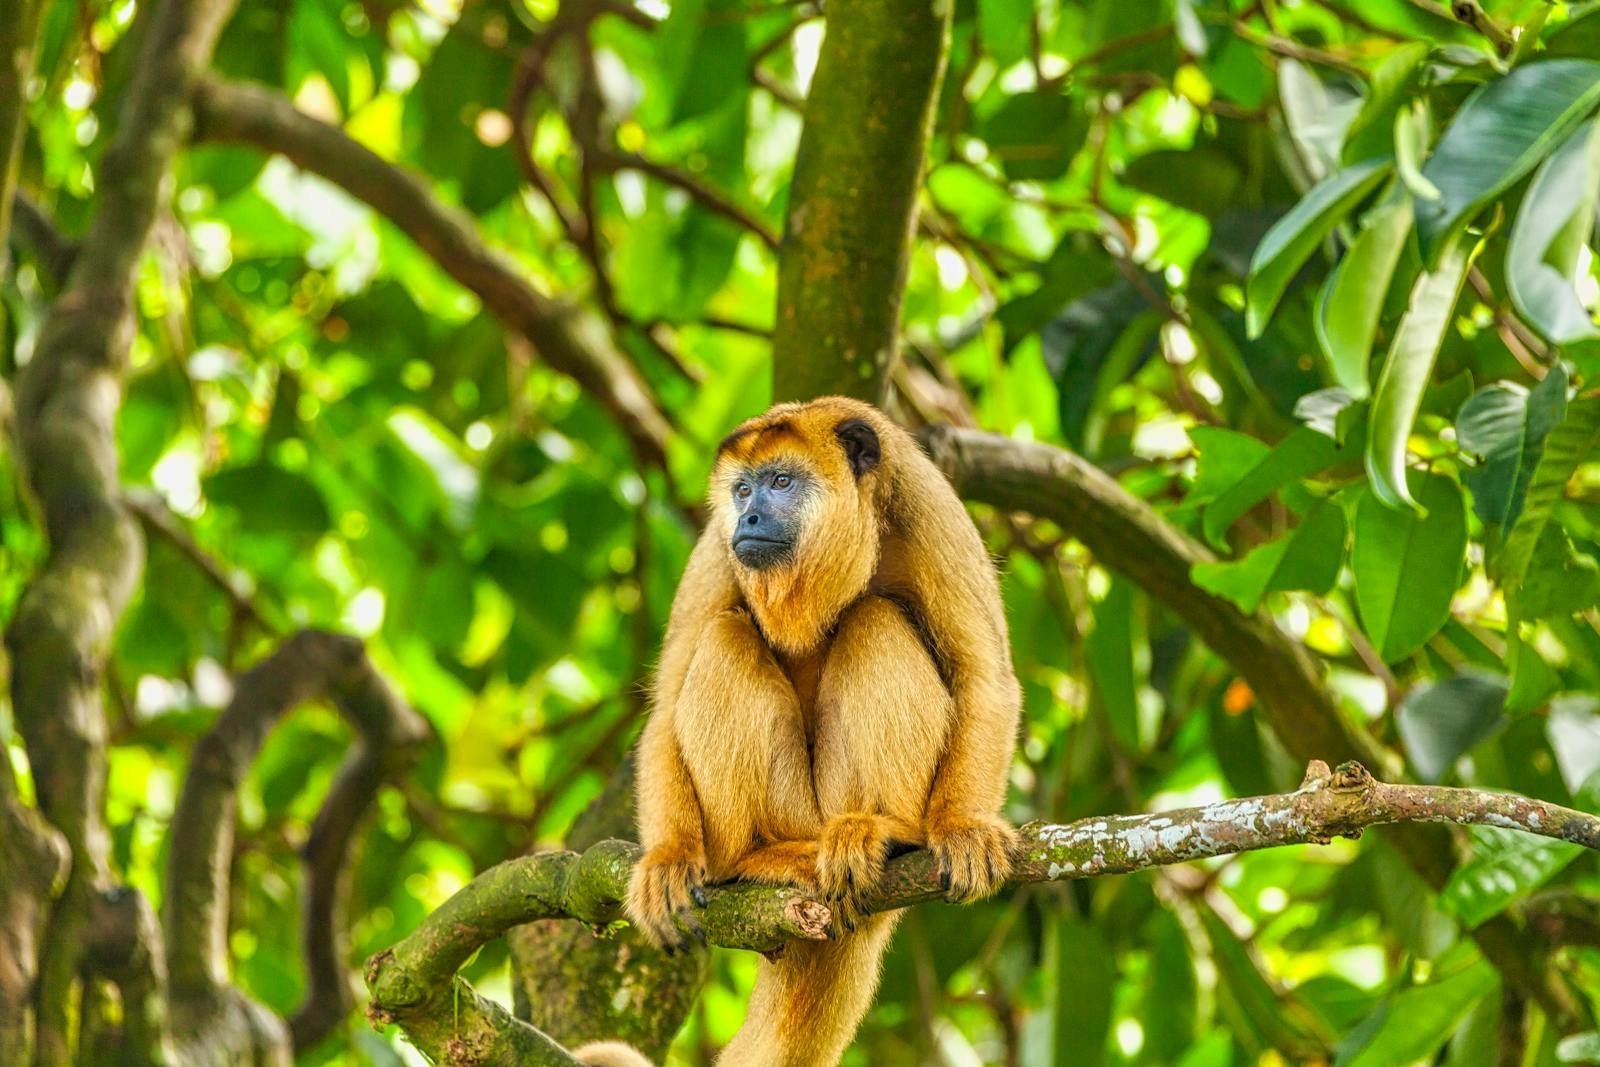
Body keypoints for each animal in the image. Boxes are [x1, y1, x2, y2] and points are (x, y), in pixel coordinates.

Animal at [584, 396, 1020, 1067]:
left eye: (782, 481)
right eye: (742, 489)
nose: (749, 514)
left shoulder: (930, 510)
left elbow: (984, 676)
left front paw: (964, 826)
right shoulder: (717, 548)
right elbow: (663, 708)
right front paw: (668, 858)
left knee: (874, 620)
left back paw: (888, 833)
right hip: (790, 813)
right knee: (725, 637)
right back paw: (756, 858)